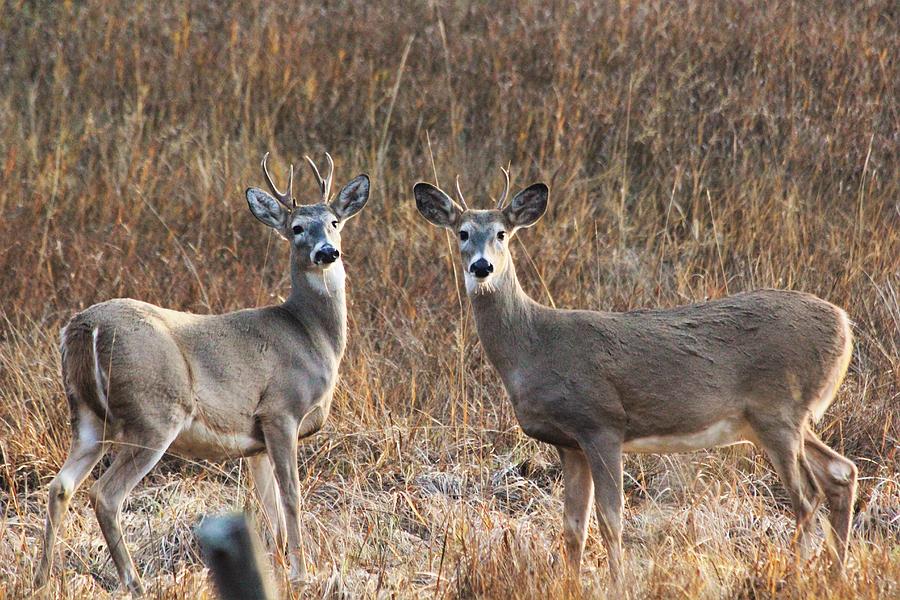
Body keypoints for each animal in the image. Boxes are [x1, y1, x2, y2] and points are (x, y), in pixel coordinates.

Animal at [32, 151, 370, 596]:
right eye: (297, 228)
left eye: (334, 222)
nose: (327, 252)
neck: (310, 335)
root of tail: (83, 328)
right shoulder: (280, 410)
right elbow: (292, 498)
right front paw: (301, 573)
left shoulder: (256, 441)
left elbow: (270, 511)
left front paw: (279, 569)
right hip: (152, 413)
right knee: (105, 494)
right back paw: (134, 582)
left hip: (87, 417)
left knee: (61, 486)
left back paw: (41, 578)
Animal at [414, 171, 856, 584]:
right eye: (463, 233)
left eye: (502, 234)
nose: (482, 266)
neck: (534, 347)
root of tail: (845, 325)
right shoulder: (569, 443)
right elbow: (573, 528)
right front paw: (572, 583)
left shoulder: (602, 422)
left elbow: (610, 521)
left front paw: (617, 581)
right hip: (781, 419)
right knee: (841, 473)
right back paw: (834, 572)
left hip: (777, 410)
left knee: (807, 498)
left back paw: (794, 575)